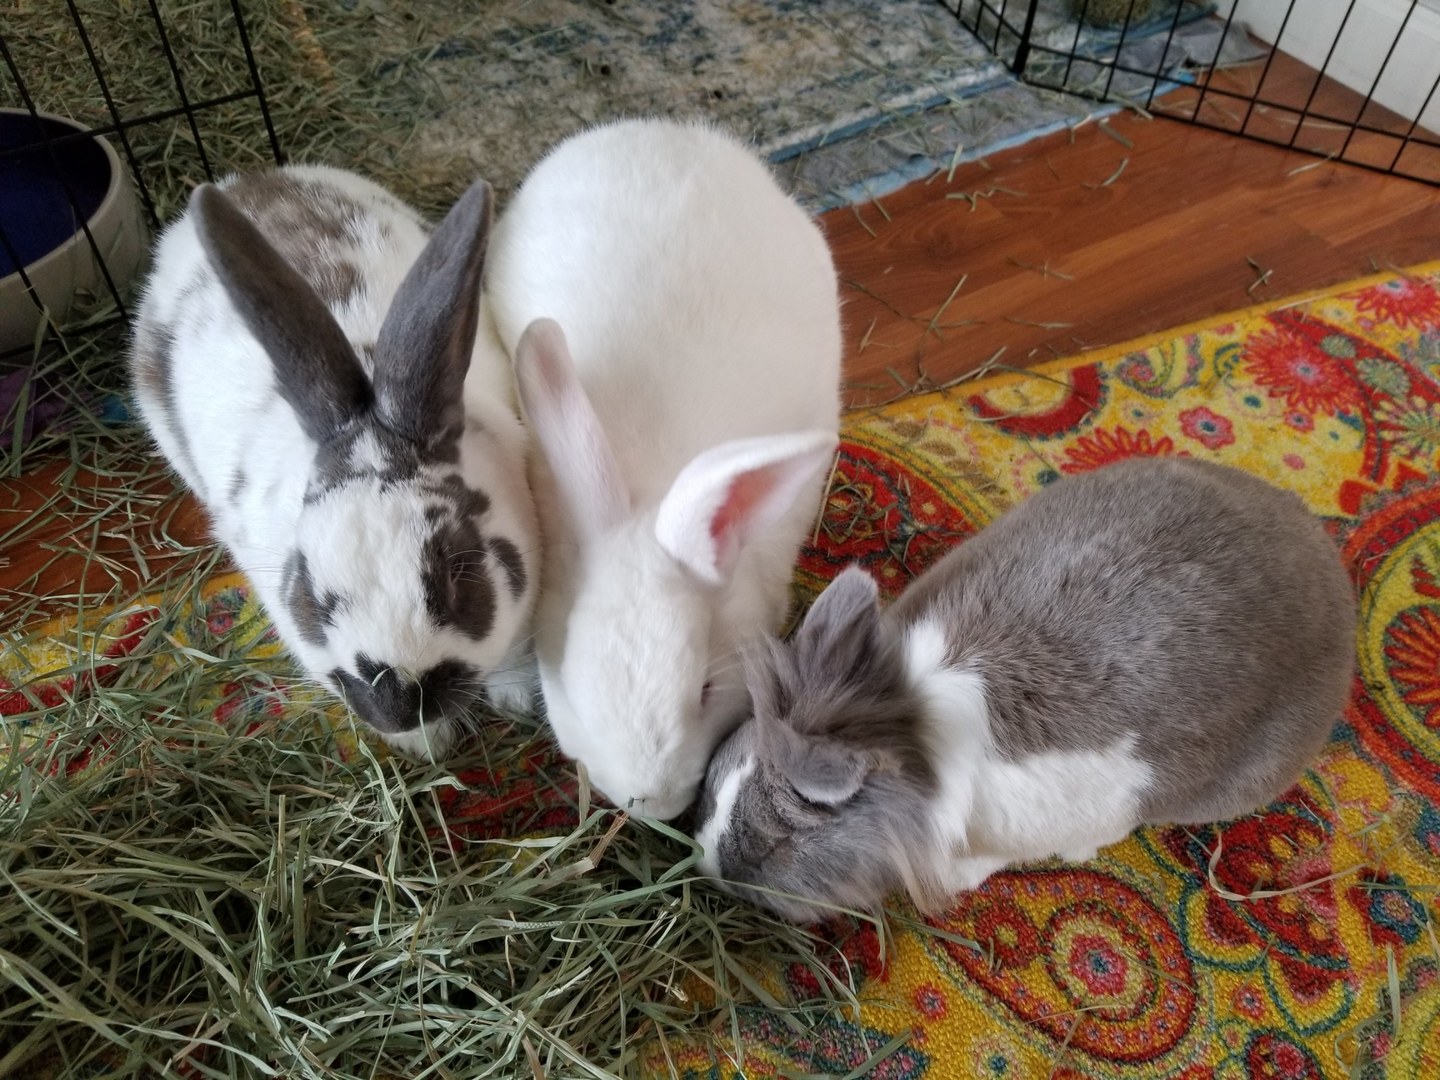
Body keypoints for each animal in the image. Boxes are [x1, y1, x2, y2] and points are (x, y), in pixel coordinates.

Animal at [128, 164, 539, 760]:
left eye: (458, 573)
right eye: (310, 594)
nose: (396, 704)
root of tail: (245, 180)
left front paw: (516, 700)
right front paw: (425, 744)